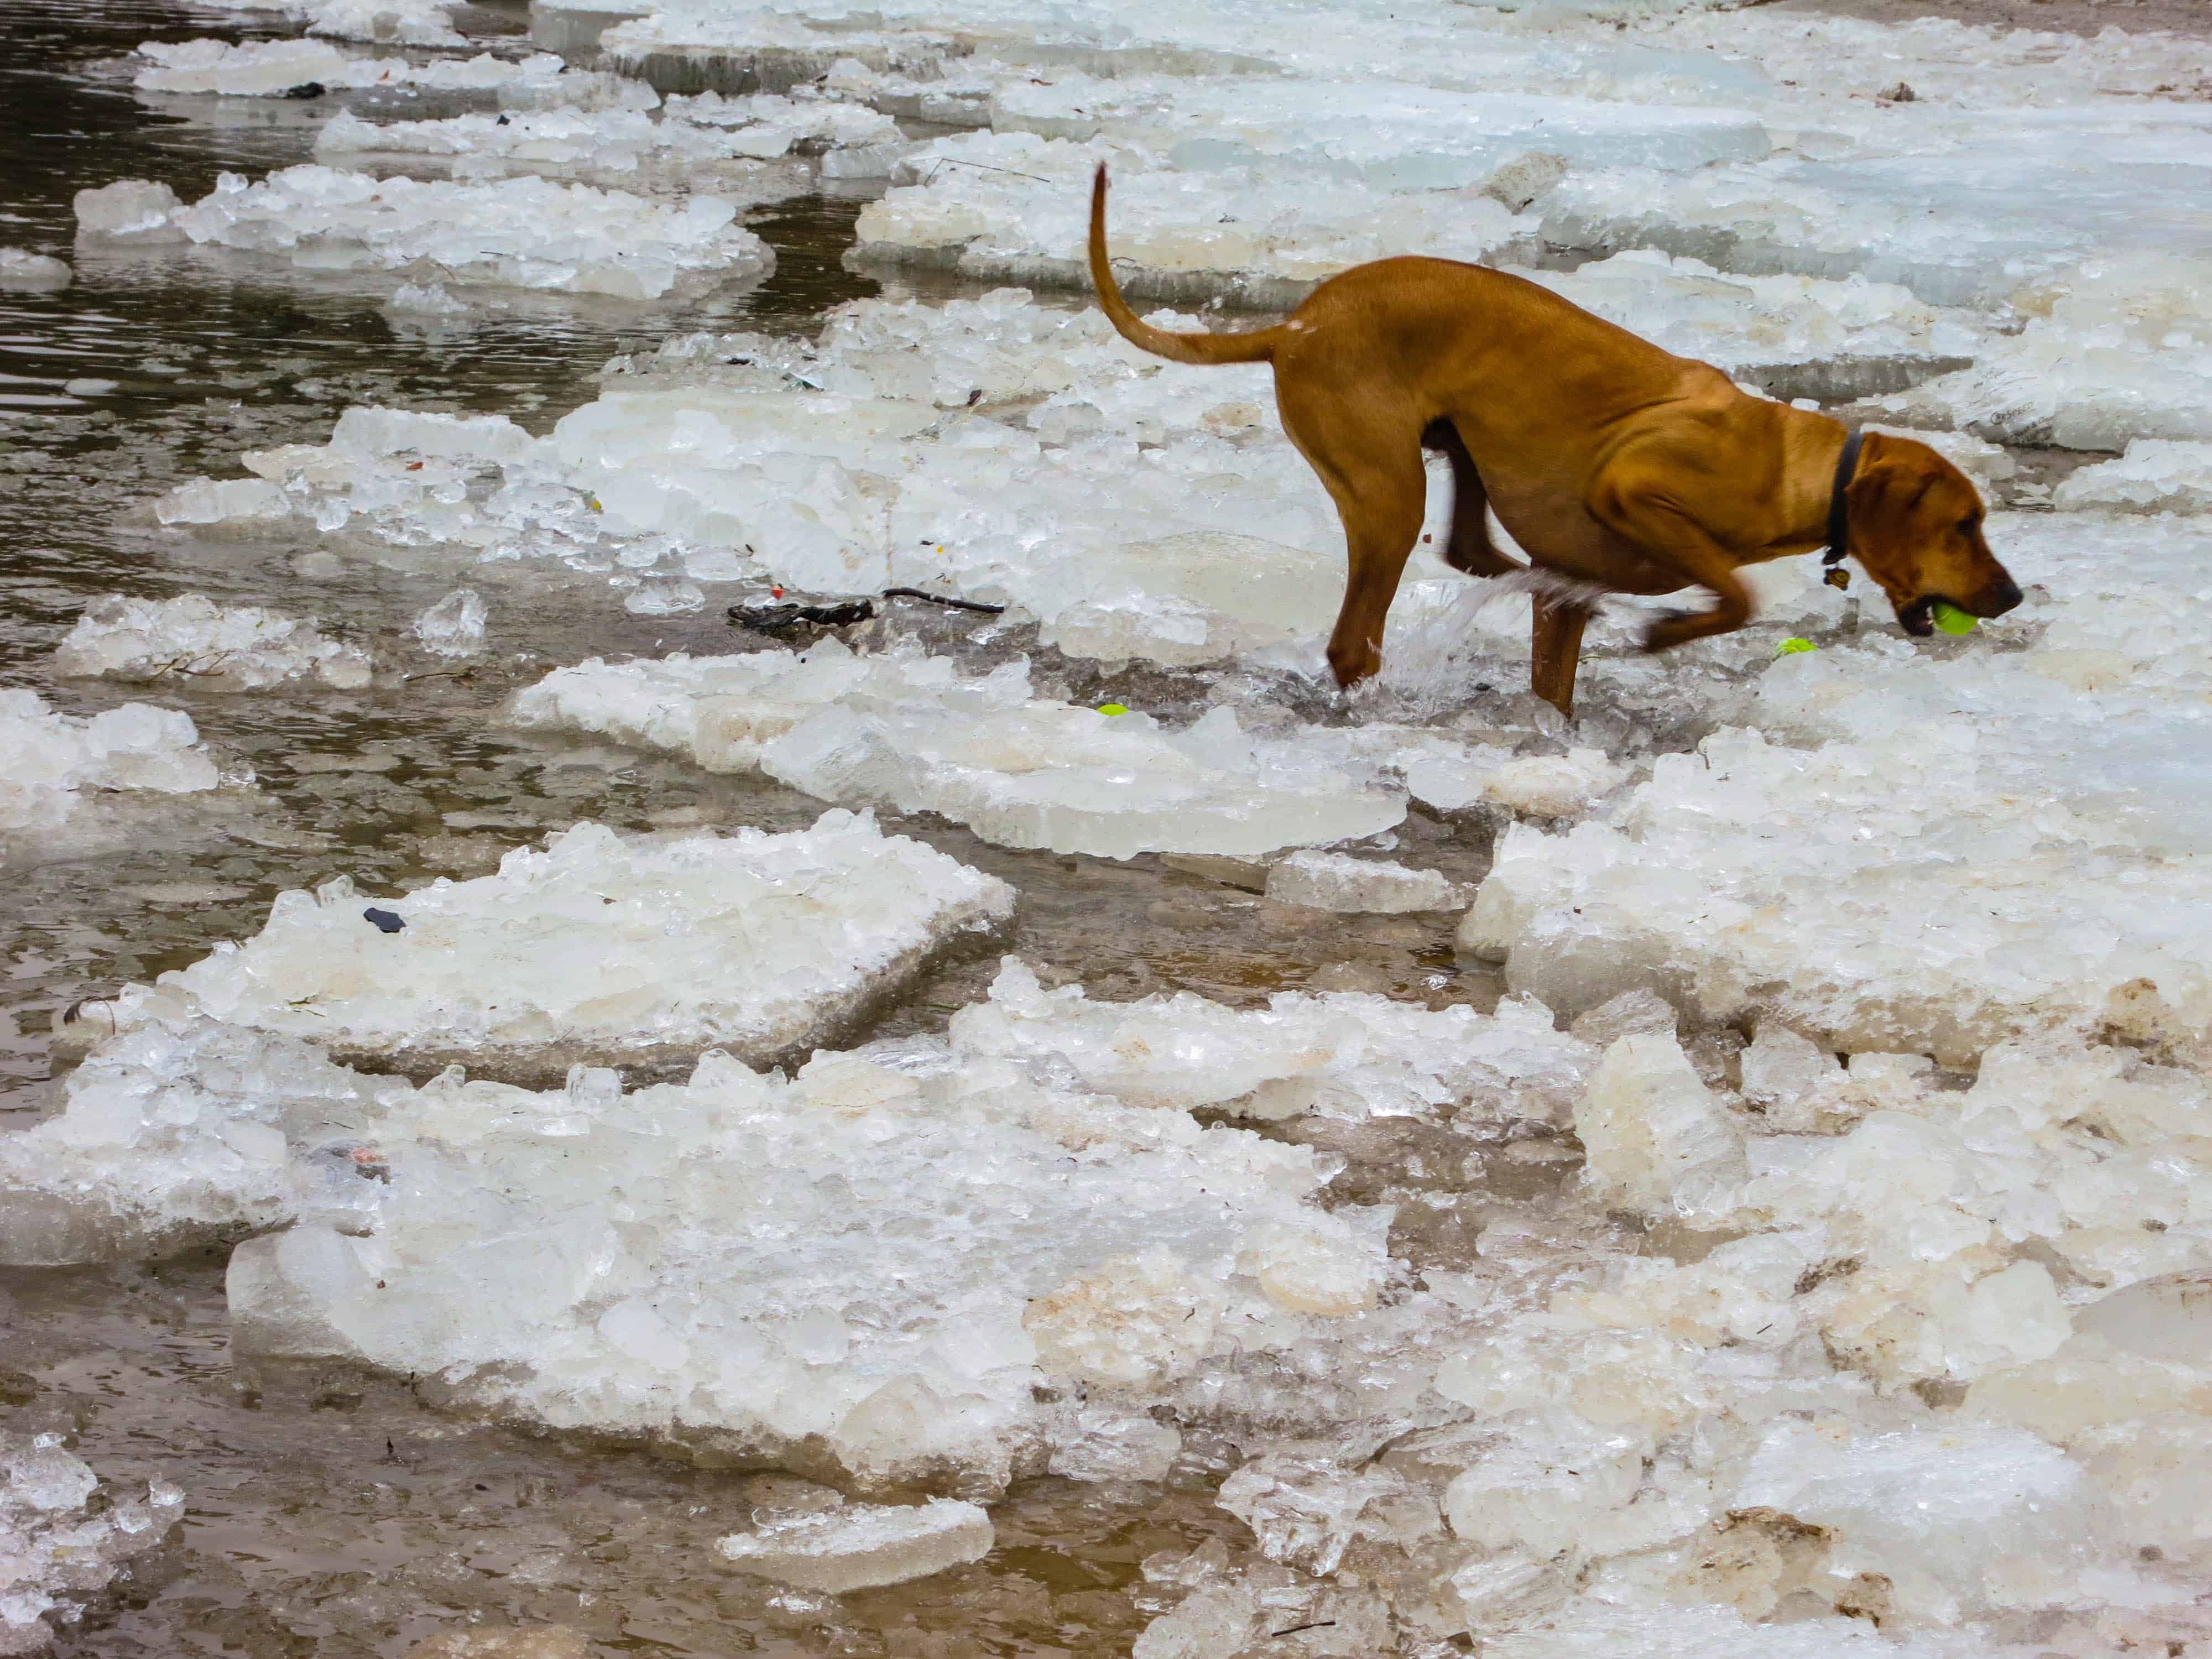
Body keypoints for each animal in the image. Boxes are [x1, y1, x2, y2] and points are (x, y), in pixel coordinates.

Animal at [1088, 166, 2026, 717]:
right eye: (1964, 525)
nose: (2014, 596)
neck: (1799, 468)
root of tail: (1295, 325)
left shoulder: (1568, 598)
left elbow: (1560, 670)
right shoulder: (1632, 485)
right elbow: (1735, 591)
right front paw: (1666, 634)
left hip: (1454, 445)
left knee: (1470, 548)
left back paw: (1511, 570)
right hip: (1387, 490)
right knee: (1360, 635)